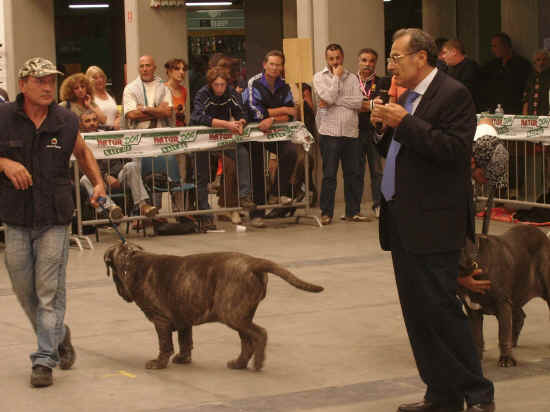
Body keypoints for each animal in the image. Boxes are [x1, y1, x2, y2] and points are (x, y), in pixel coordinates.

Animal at [104, 241, 324, 370]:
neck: (130, 261)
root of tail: (253, 263)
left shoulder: (161, 321)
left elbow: (165, 344)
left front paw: (159, 363)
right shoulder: (184, 319)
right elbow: (185, 341)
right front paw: (183, 359)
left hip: (232, 314)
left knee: (260, 334)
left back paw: (258, 362)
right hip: (241, 315)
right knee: (247, 341)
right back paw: (239, 363)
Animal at [460, 225, 550, 366]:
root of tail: (544, 237)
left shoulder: (502, 303)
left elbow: (503, 332)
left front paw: (506, 359)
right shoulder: (473, 310)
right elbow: (477, 335)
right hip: (516, 294)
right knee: (520, 316)